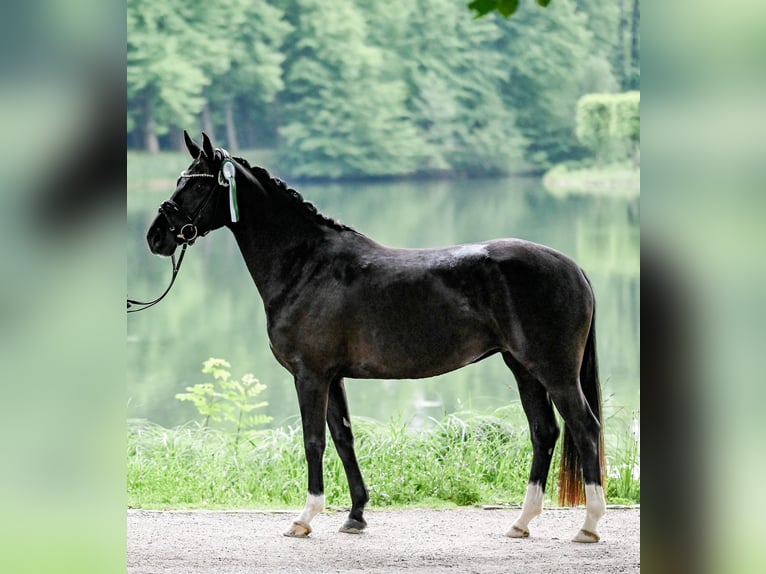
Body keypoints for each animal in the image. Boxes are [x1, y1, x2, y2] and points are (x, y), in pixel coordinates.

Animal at [147, 134, 608, 544]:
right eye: (181, 179)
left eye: (198, 183)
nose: (156, 236)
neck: (307, 265)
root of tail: (575, 268)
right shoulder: (333, 377)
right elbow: (344, 439)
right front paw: (355, 515)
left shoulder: (310, 375)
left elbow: (314, 442)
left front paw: (304, 519)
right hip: (523, 368)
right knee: (544, 432)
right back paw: (521, 522)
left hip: (555, 371)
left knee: (585, 426)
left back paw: (588, 526)